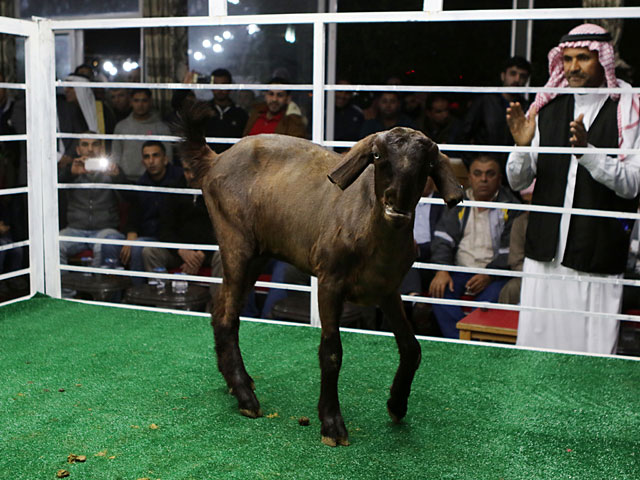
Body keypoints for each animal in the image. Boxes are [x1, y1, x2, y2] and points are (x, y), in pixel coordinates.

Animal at [180, 103, 460, 448]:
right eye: (377, 155)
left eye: (428, 163)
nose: (397, 202)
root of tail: (214, 159)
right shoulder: (330, 282)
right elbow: (331, 353)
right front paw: (332, 425)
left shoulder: (387, 290)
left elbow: (411, 348)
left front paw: (397, 405)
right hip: (236, 242)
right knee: (226, 316)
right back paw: (246, 398)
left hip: (259, 254)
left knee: (220, 307)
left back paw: (238, 383)